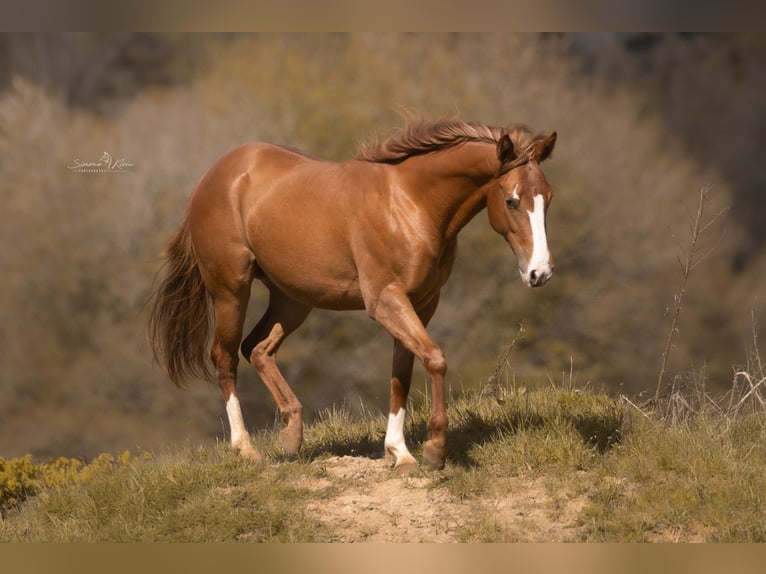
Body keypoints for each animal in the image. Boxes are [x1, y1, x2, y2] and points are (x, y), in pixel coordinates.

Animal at [148, 119, 560, 470]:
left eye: (548, 198)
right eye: (511, 200)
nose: (539, 272)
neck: (411, 204)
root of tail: (215, 175)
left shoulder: (422, 303)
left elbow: (403, 370)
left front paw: (399, 452)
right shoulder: (385, 300)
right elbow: (435, 359)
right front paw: (434, 450)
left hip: (294, 298)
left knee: (259, 348)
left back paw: (292, 433)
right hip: (231, 290)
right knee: (226, 356)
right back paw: (246, 448)